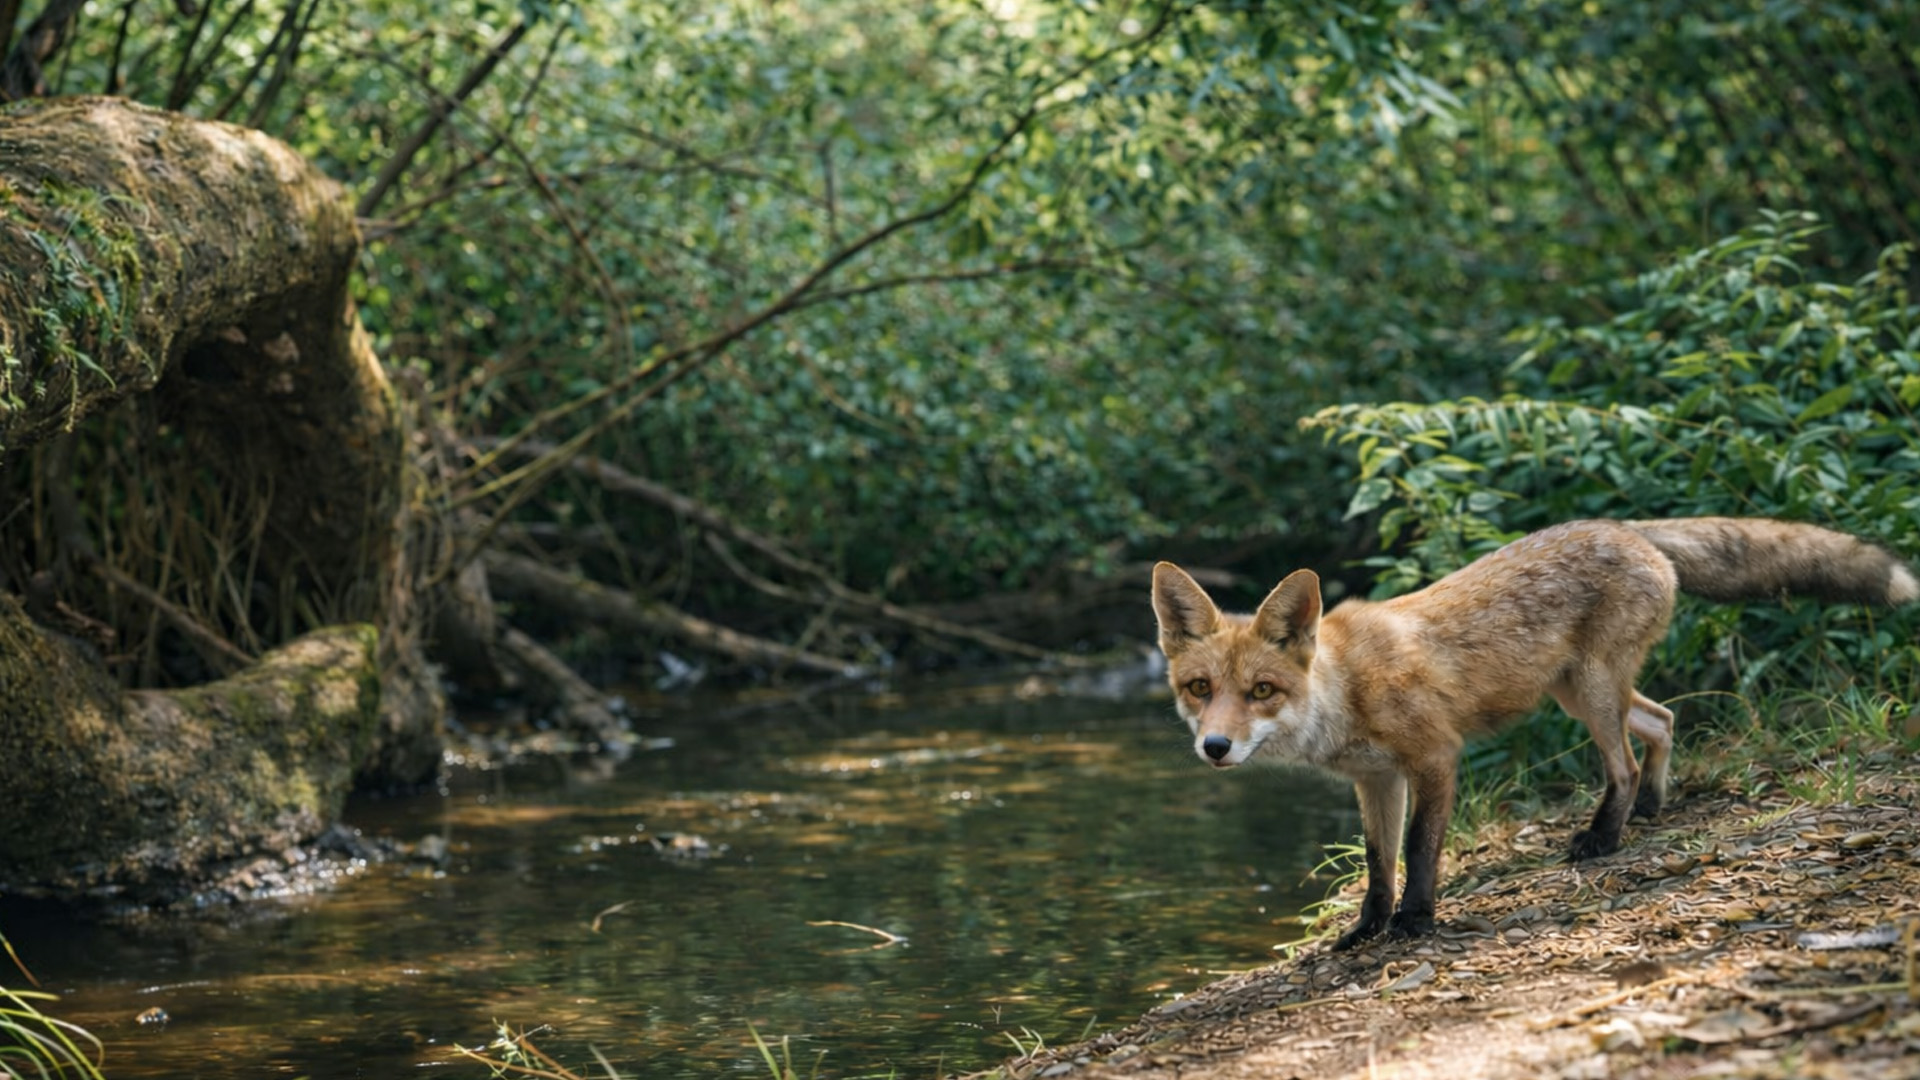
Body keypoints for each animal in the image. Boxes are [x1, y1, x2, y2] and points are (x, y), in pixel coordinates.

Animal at [1151, 518, 1918, 950]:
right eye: (1200, 689)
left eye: (1261, 691)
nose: (1214, 747)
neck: (1345, 689)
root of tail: (1623, 525)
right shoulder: (1376, 778)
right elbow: (1377, 865)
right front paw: (1366, 930)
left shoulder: (1434, 757)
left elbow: (1420, 853)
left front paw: (1414, 925)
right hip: (1578, 692)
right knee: (1663, 720)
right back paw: (1650, 810)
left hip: (1593, 694)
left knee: (1623, 763)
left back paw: (1603, 838)